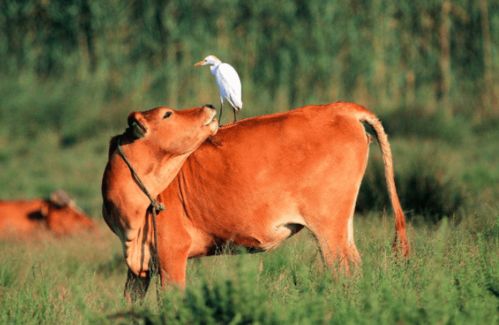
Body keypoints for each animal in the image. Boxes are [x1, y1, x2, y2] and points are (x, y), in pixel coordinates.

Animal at [101, 102, 410, 300]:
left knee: (344, 270)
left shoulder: (172, 253)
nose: (209, 105)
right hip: (341, 227)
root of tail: (340, 108)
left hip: (329, 227)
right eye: (167, 114)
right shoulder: (139, 266)